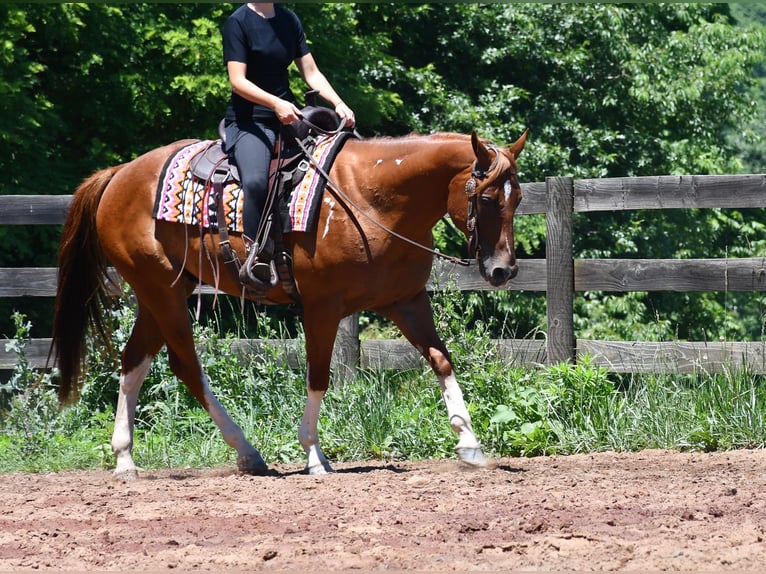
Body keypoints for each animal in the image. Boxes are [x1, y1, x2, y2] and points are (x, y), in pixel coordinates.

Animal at [52, 128, 528, 478]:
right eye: (488, 198)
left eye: (519, 198)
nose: (503, 270)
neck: (371, 197)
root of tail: (119, 174)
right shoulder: (322, 307)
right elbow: (318, 375)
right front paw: (315, 456)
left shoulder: (406, 301)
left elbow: (440, 360)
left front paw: (469, 443)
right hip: (161, 291)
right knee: (184, 364)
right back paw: (246, 451)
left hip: (165, 291)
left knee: (135, 360)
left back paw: (125, 458)